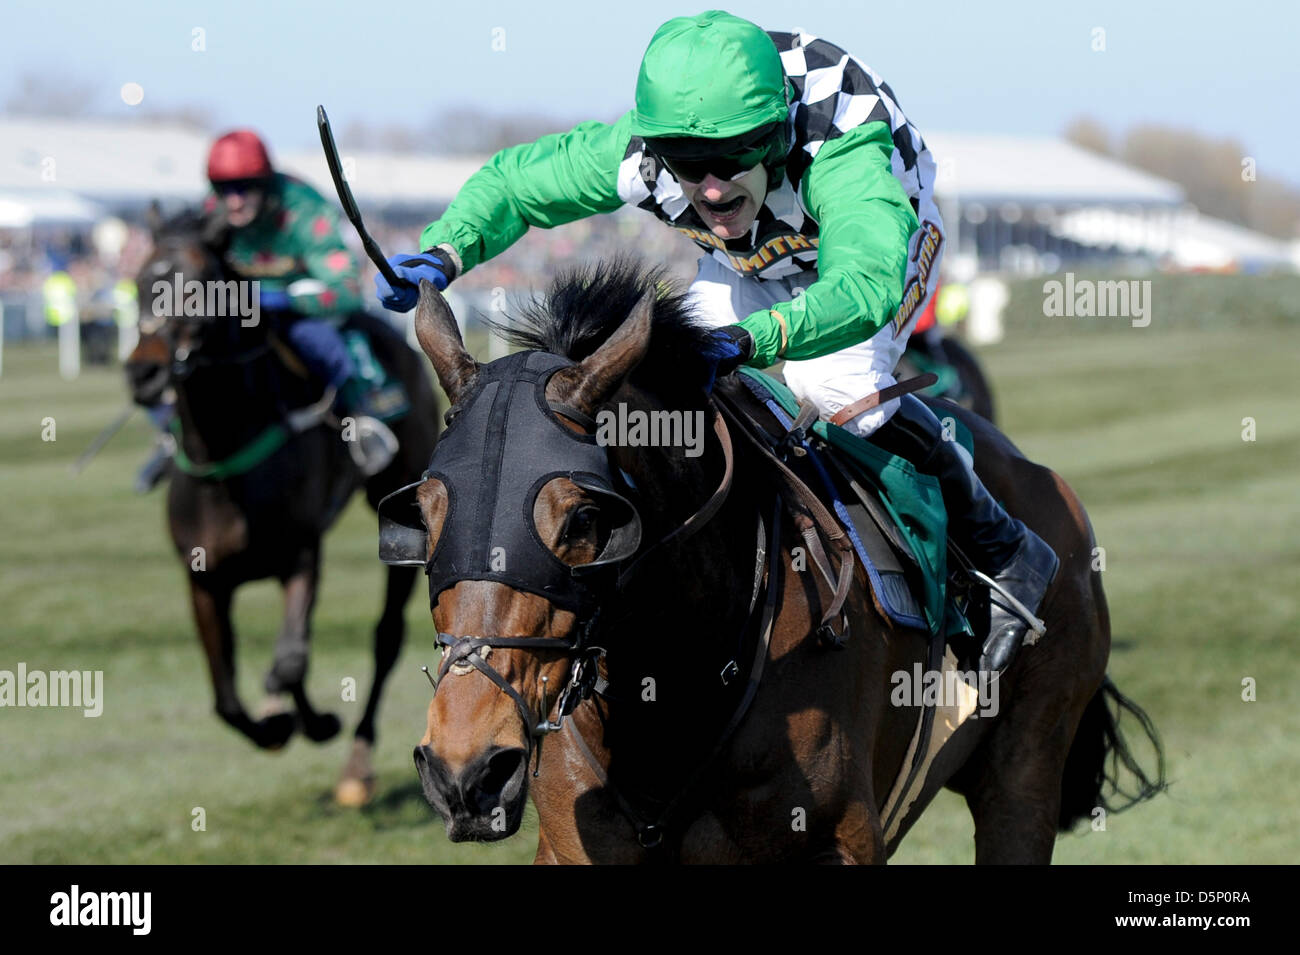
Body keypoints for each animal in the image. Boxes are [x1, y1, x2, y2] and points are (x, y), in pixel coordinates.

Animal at [126, 210, 441, 805]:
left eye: (200, 285)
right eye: (137, 282)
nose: (143, 374)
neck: (226, 462)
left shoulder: (301, 554)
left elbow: (292, 659)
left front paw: (315, 721)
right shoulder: (204, 579)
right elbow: (227, 698)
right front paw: (273, 724)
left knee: (385, 638)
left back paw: (356, 765)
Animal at [392, 265, 1159, 862]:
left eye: (583, 517)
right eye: (426, 511)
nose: (466, 772)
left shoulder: (838, 842)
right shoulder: (576, 844)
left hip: (1025, 769)